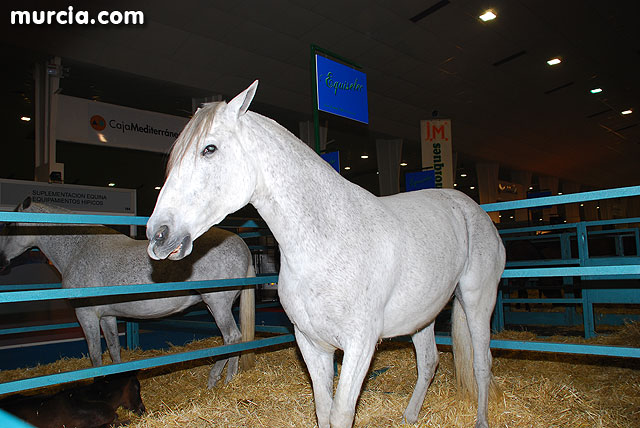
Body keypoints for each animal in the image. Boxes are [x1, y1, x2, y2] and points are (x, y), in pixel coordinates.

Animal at [0, 199, 255, 386]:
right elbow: (114, 351)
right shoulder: (108, 316)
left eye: (10, 226)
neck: (77, 249)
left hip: (217, 303)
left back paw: (220, 379)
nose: (2, 260)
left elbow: (95, 354)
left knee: (232, 337)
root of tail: (242, 245)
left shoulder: (86, 315)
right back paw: (226, 379)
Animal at [146, 81, 504, 428]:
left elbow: (341, 414)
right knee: (429, 361)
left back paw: (482, 420)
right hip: (422, 316)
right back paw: (409, 417)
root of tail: (474, 211)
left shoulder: (359, 346)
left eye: (209, 148)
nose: (158, 234)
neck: (326, 242)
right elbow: (323, 409)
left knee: (481, 362)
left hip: (477, 302)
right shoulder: (311, 344)